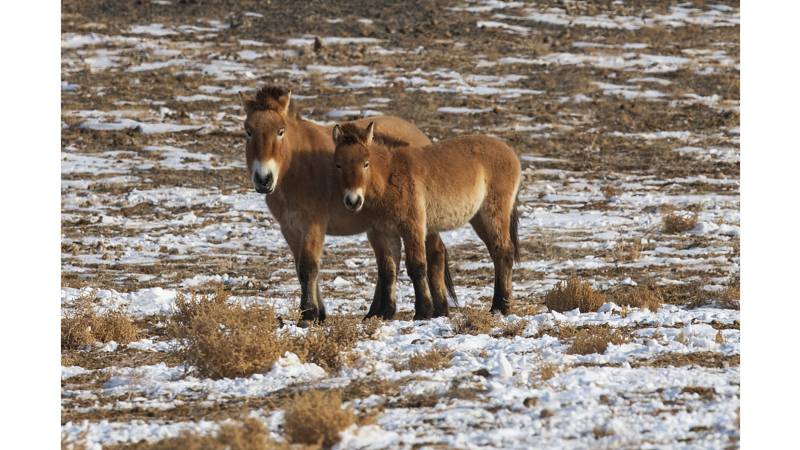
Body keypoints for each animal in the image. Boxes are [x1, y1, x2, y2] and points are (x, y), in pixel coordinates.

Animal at [239, 86, 456, 324]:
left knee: (434, 254)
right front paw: (318, 313)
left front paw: (309, 314)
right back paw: (378, 312)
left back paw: (439, 309)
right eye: (248, 131)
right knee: (390, 263)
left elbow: (308, 268)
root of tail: (420, 136)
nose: (263, 179)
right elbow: (300, 269)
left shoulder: (313, 226)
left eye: (280, 131)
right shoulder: (290, 228)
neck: (297, 167)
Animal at [332, 122, 521, 318]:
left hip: (493, 214)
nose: (353, 201)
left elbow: (417, 267)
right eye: (338, 165)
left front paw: (423, 311)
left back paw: (501, 306)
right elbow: (388, 270)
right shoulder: (383, 234)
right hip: (478, 218)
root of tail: (509, 151)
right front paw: (386, 312)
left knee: (504, 252)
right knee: (497, 253)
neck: (389, 178)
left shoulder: (412, 228)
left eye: (365, 164)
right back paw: (499, 305)